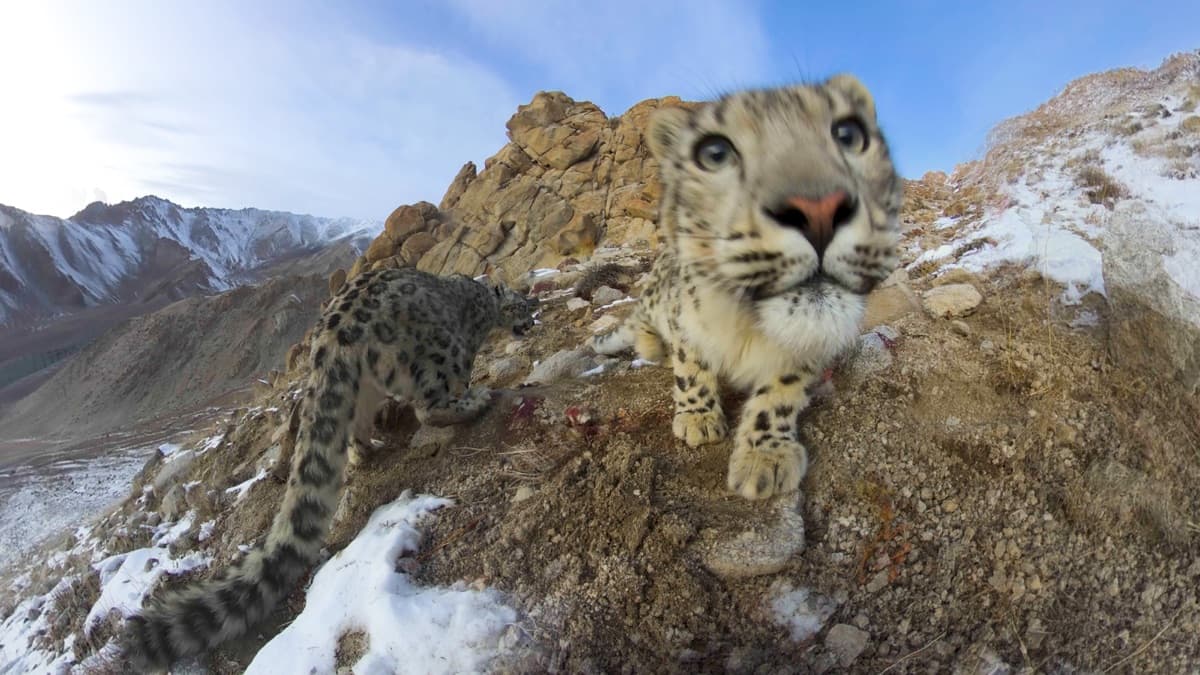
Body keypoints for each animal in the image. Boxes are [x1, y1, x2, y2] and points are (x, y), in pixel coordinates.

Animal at [119, 266, 537, 671]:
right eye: (521, 303)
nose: (532, 318)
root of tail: (335, 333)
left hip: (365, 387)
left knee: (355, 430)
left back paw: (368, 449)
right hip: (435, 356)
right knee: (429, 405)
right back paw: (471, 403)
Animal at [592, 75, 903, 500]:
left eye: (849, 133)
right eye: (715, 153)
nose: (820, 210)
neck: (750, 330)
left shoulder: (807, 352)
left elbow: (780, 393)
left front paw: (765, 458)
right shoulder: (687, 324)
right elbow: (692, 366)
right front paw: (698, 420)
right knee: (641, 319)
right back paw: (653, 347)